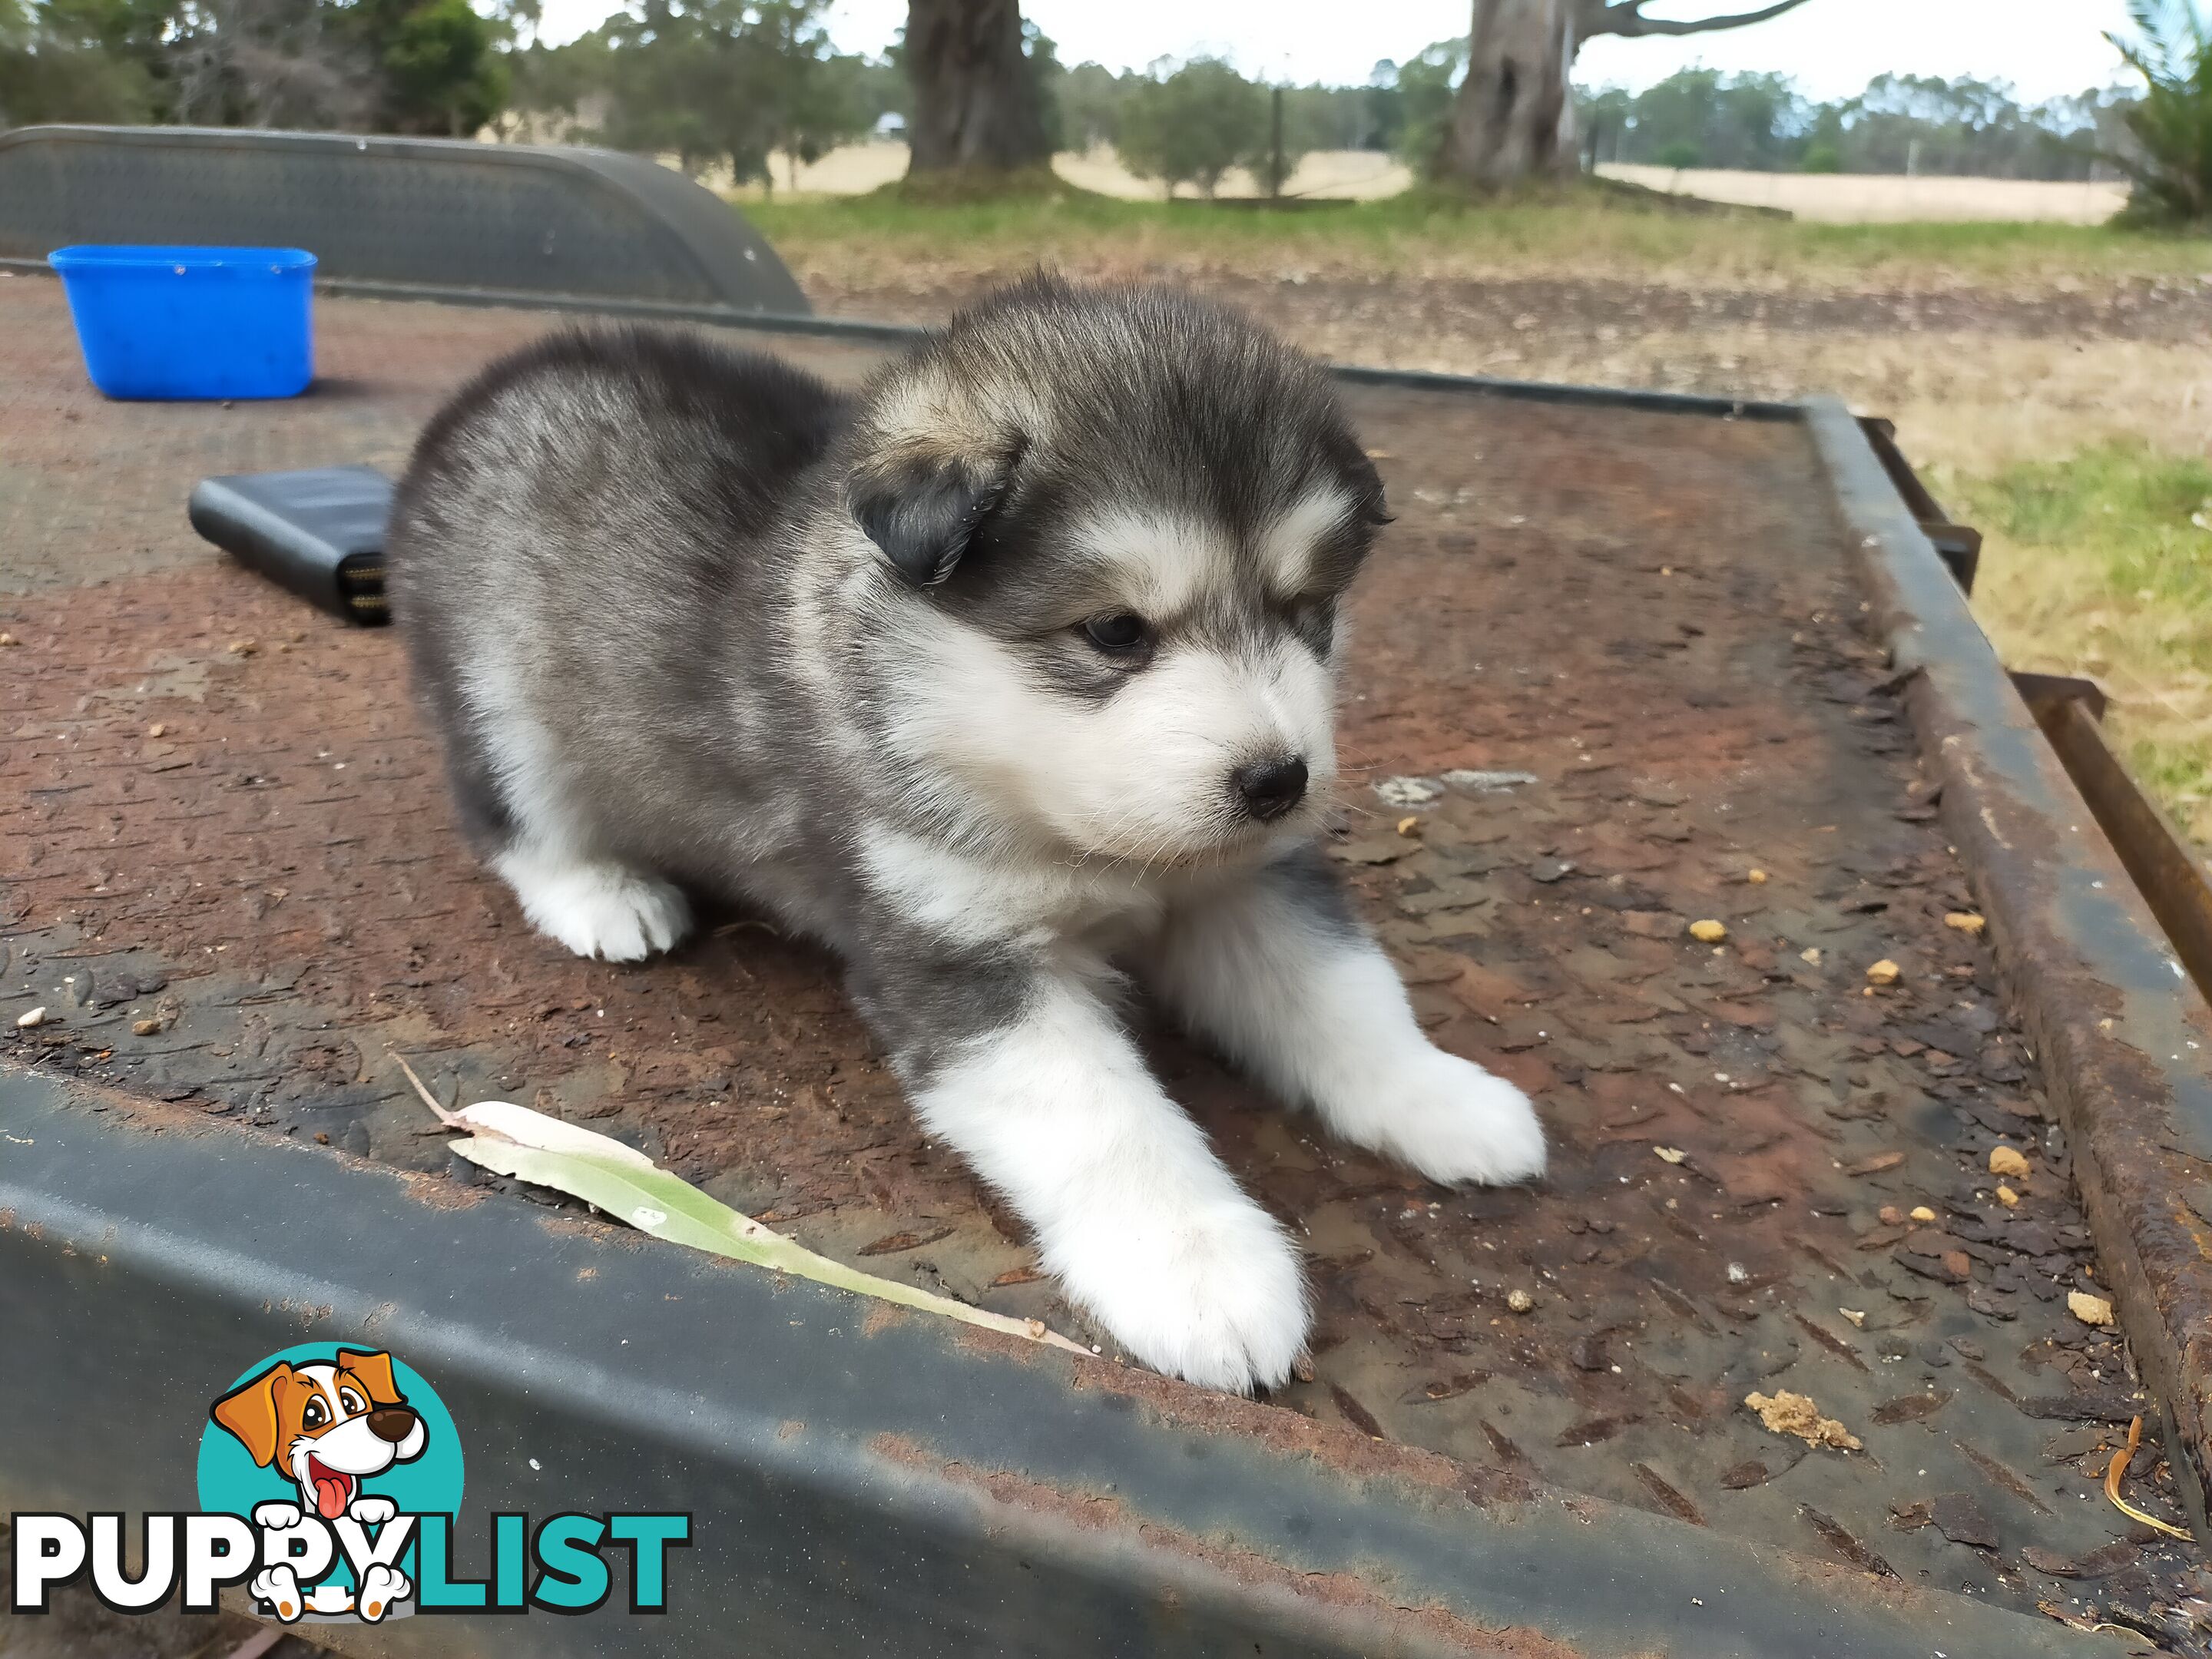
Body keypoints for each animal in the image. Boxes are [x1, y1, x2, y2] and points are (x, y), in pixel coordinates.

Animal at [393, 280, 1539, 1398]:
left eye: (1309, 609)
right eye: (1115, 631)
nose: (1278, 781)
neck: (1078, 836)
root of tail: (498, 383)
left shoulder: (1248, 888)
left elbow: (1346, 997)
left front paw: (1441, 1098)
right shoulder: (955, 948)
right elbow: (1100, 1117)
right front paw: (1199, 1271)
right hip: (504, 698)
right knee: (510, 812)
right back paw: (602, 894)